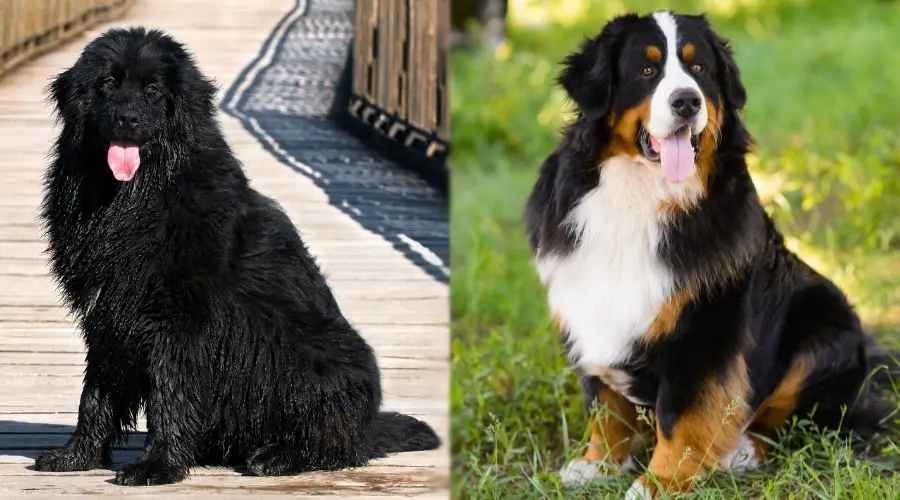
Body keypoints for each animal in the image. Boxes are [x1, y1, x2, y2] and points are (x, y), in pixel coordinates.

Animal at [33, 26, 442, 484]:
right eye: (107, 84)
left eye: (153, 90)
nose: (128, 118)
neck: (134, 198)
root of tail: (369, 426)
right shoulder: (108, 312)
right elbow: (96, 394)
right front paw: (77, 455)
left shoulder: (178, 320)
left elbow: (169, 394)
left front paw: (157, 465)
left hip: (320, 363)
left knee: (338, 444)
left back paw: (277, 456)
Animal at [524, 9, 896, 498]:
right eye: (646, 70)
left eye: (698, 68)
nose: (686, 101)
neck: (642, 196)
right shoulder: (588, 306)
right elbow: (605, 404)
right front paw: (598, 463)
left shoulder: (704, 328)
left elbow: (679, 414)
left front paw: (660, 482)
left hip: (825, 323)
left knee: (792, 418)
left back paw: (741, 450)